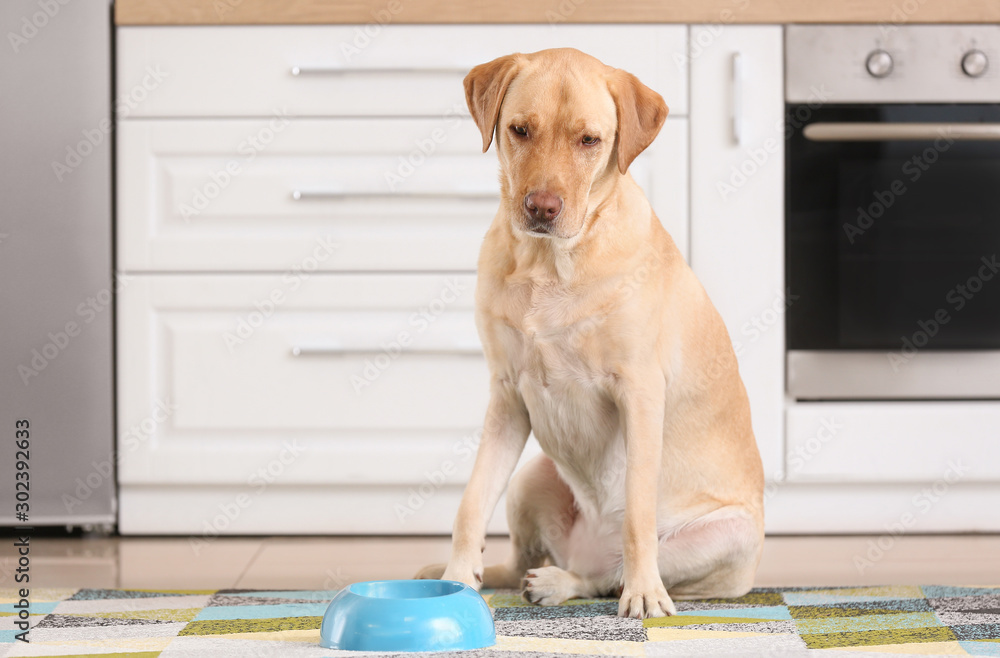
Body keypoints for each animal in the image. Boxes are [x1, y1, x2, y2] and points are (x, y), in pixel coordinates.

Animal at [418, 50, 760, 616]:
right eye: (519, 130)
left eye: (589, 141)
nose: (541, 207)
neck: (549, 264)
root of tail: (584, 551)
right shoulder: (507, 397)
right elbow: (470, 504)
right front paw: (457, 579)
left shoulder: (640, 394)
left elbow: (639, 516)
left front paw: (645, 596)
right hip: (531, 476)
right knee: (527, 562)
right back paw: (507, 578)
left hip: (730, 535)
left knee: (605, 577)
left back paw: (579, 584)